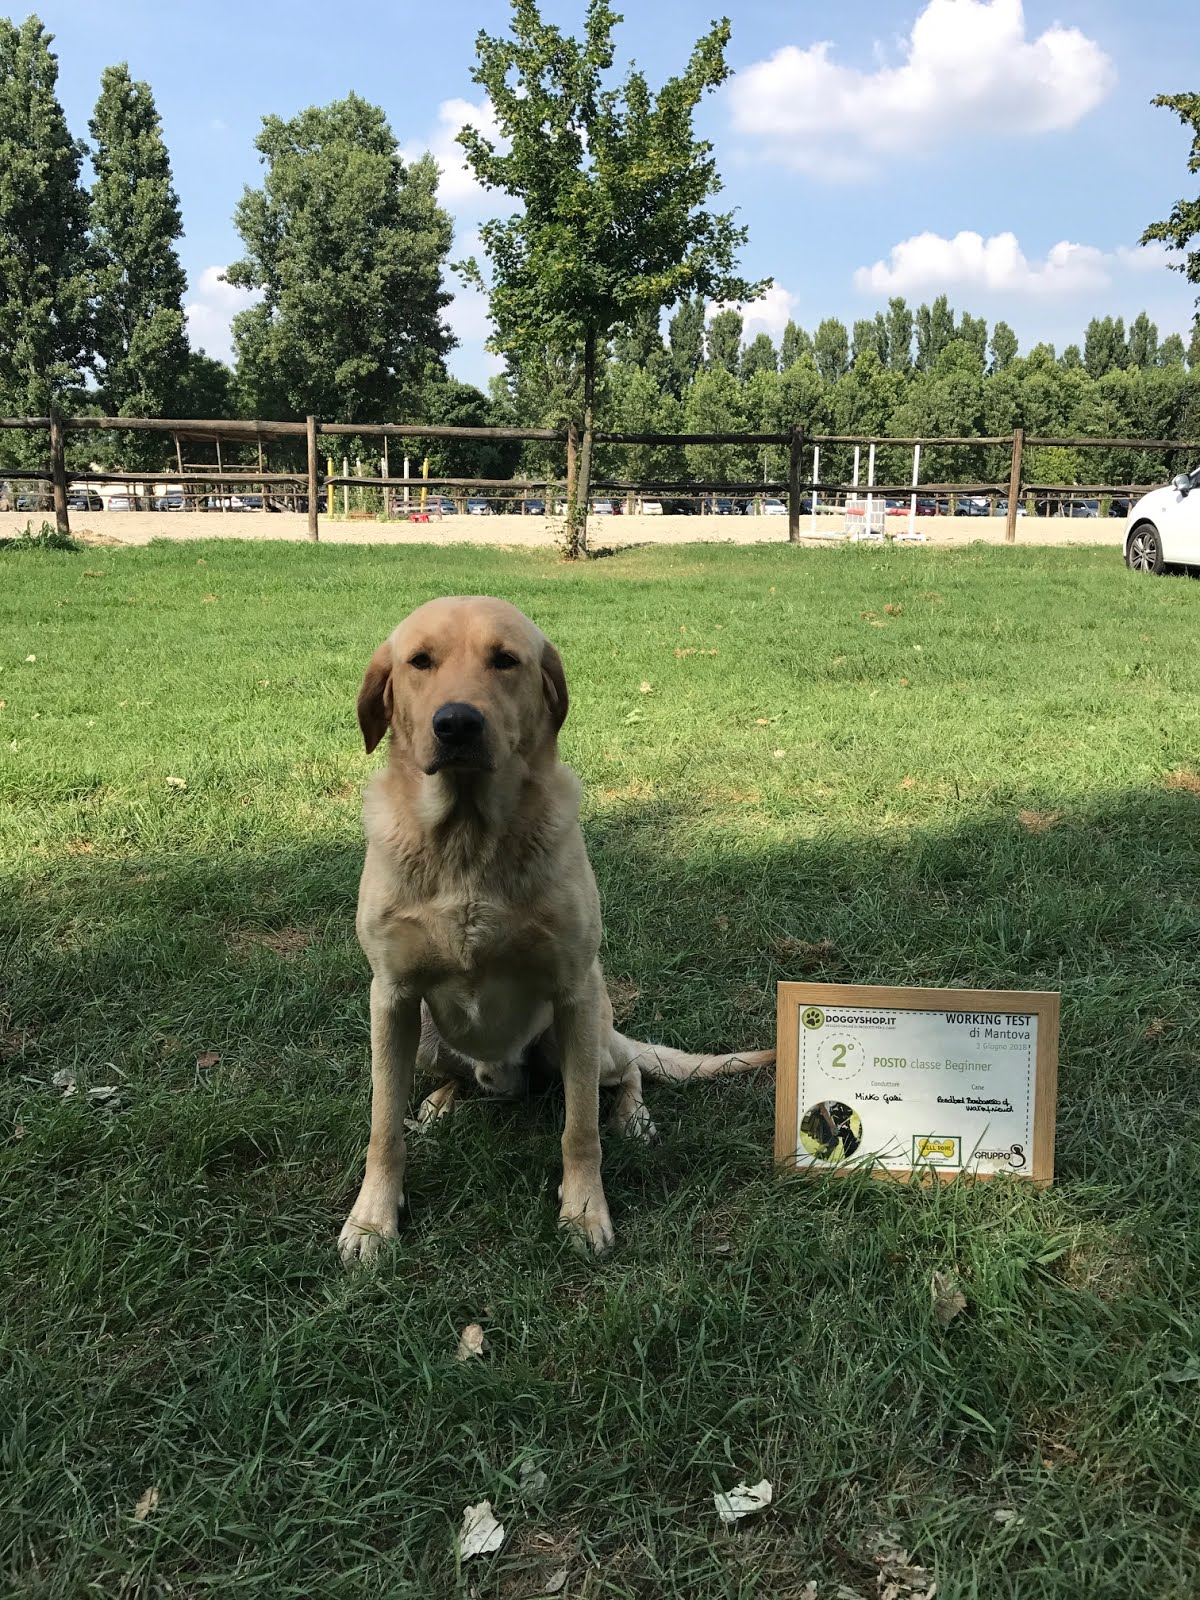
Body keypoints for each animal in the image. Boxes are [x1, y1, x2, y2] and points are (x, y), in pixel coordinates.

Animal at [340, 595, 771, 1267]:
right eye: (419, 662)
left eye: (505, 660)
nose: (456, 724)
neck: (468, 839)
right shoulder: (391, 996)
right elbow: (382, 1125)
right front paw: (372, 1220)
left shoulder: (574, 990)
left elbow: (580, 1128)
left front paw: (586, 1209)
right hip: (429, 1037)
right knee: (454, 1079)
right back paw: (439, 1106)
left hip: (591, 1038)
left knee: (627, 1073)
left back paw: (634, 1119)